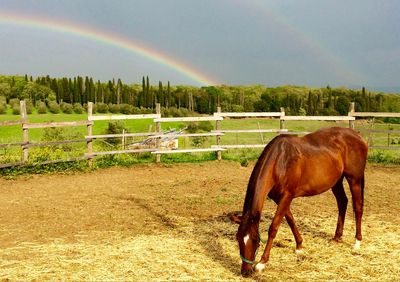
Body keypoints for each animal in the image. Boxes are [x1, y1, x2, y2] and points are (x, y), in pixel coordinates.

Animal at [231, 126, 368, 276]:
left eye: (255, 239)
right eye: (238, 238)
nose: (245, 271)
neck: (280, 161)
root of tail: (359, 136)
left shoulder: (287, 196)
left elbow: (274, 227)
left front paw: (262, 262)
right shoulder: (279, 198)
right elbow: (290, 220)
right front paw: (299, 246)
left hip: (354, 179)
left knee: (358, 207)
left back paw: (357, 242)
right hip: (336, 181)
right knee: (342, 202)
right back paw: (337, 237)